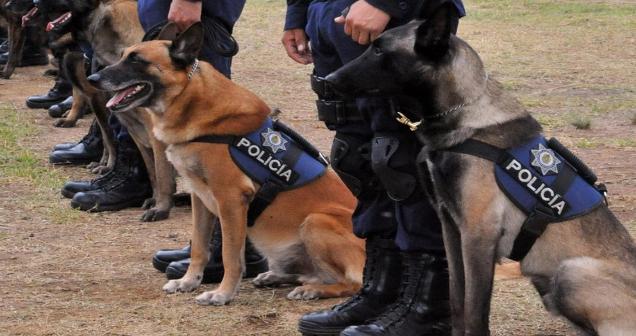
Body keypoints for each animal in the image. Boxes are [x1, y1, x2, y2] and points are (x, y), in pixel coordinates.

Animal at [90, 23, 368, 306]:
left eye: (137, 61)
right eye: (123, 56)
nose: (93, 79)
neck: (190, 100)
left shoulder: (230, 199)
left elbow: (230, 256)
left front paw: (222, 293)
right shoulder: (200, 198)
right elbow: (199, 246)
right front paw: (188, 281)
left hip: (316, 221)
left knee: (352, 283)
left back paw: (314, 290)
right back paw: (278, 277)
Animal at [322, 3, 636, 336]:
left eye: (380, 50)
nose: (328, 79)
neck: (465, 114)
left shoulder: (477, 235)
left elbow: (475, 311)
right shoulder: (451, 230)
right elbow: (457, 301)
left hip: (570, 273)